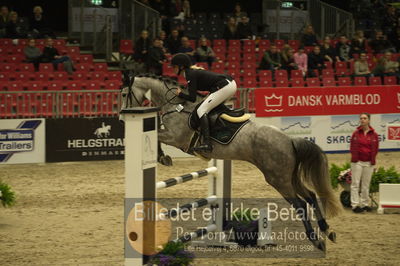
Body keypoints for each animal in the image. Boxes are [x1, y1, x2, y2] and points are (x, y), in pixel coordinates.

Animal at [119, 73, 340, 251]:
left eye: (123, 94)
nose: (121, 118)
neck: (176, 106)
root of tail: (289, 140)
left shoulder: (176, 138)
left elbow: (157, 136)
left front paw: (163, 157)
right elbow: (157, 135)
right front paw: (163, 157)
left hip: (278, 179)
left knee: (300, 203)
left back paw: (316, 240)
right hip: (289, 176)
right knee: (311, 196)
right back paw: (327, 231)